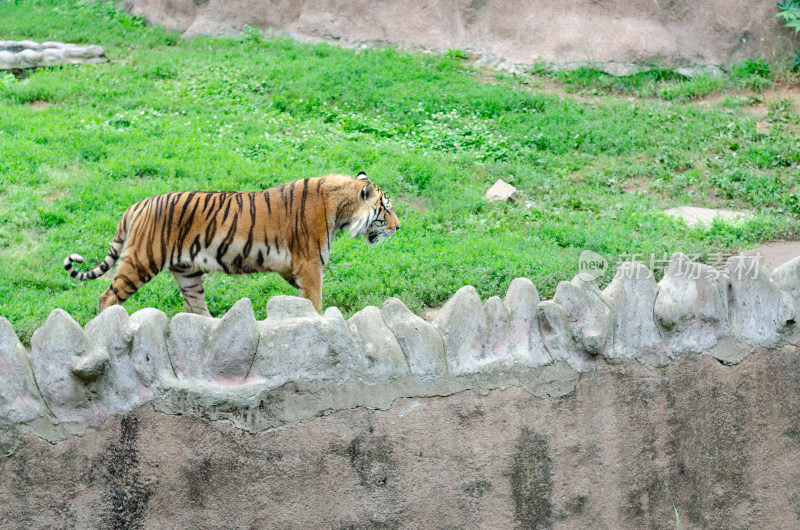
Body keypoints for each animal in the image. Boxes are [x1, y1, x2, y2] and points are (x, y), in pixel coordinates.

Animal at [64, 172, 400, 314]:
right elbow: (315, 300)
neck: (341, 209)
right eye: (386, 209)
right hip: (142, 260)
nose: (399, 227)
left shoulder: (294, 268)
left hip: (188, 272)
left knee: (196, 308)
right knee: (107, 296)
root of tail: (137, 204)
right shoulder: (309, 265)